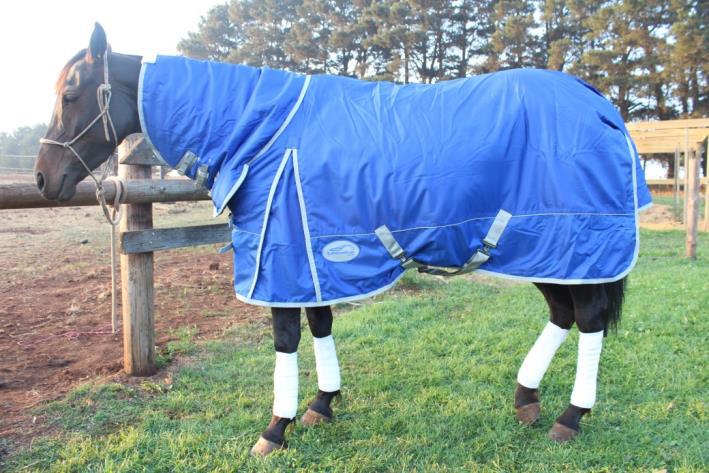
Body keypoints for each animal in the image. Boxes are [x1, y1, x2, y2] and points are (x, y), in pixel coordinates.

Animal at [35, 23, 651, 456]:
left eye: (71, 94)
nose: (44, 179)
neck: (264, 130)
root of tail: (597, 102)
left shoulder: (281, 257)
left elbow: (286, 338)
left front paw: (275, 428)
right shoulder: (309, 254)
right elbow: (320, 324)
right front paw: (321, 404)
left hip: (572, 245)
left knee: (589, 319)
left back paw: (570, 417)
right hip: (545, 252)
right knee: (565, 315)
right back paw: (526, 399)